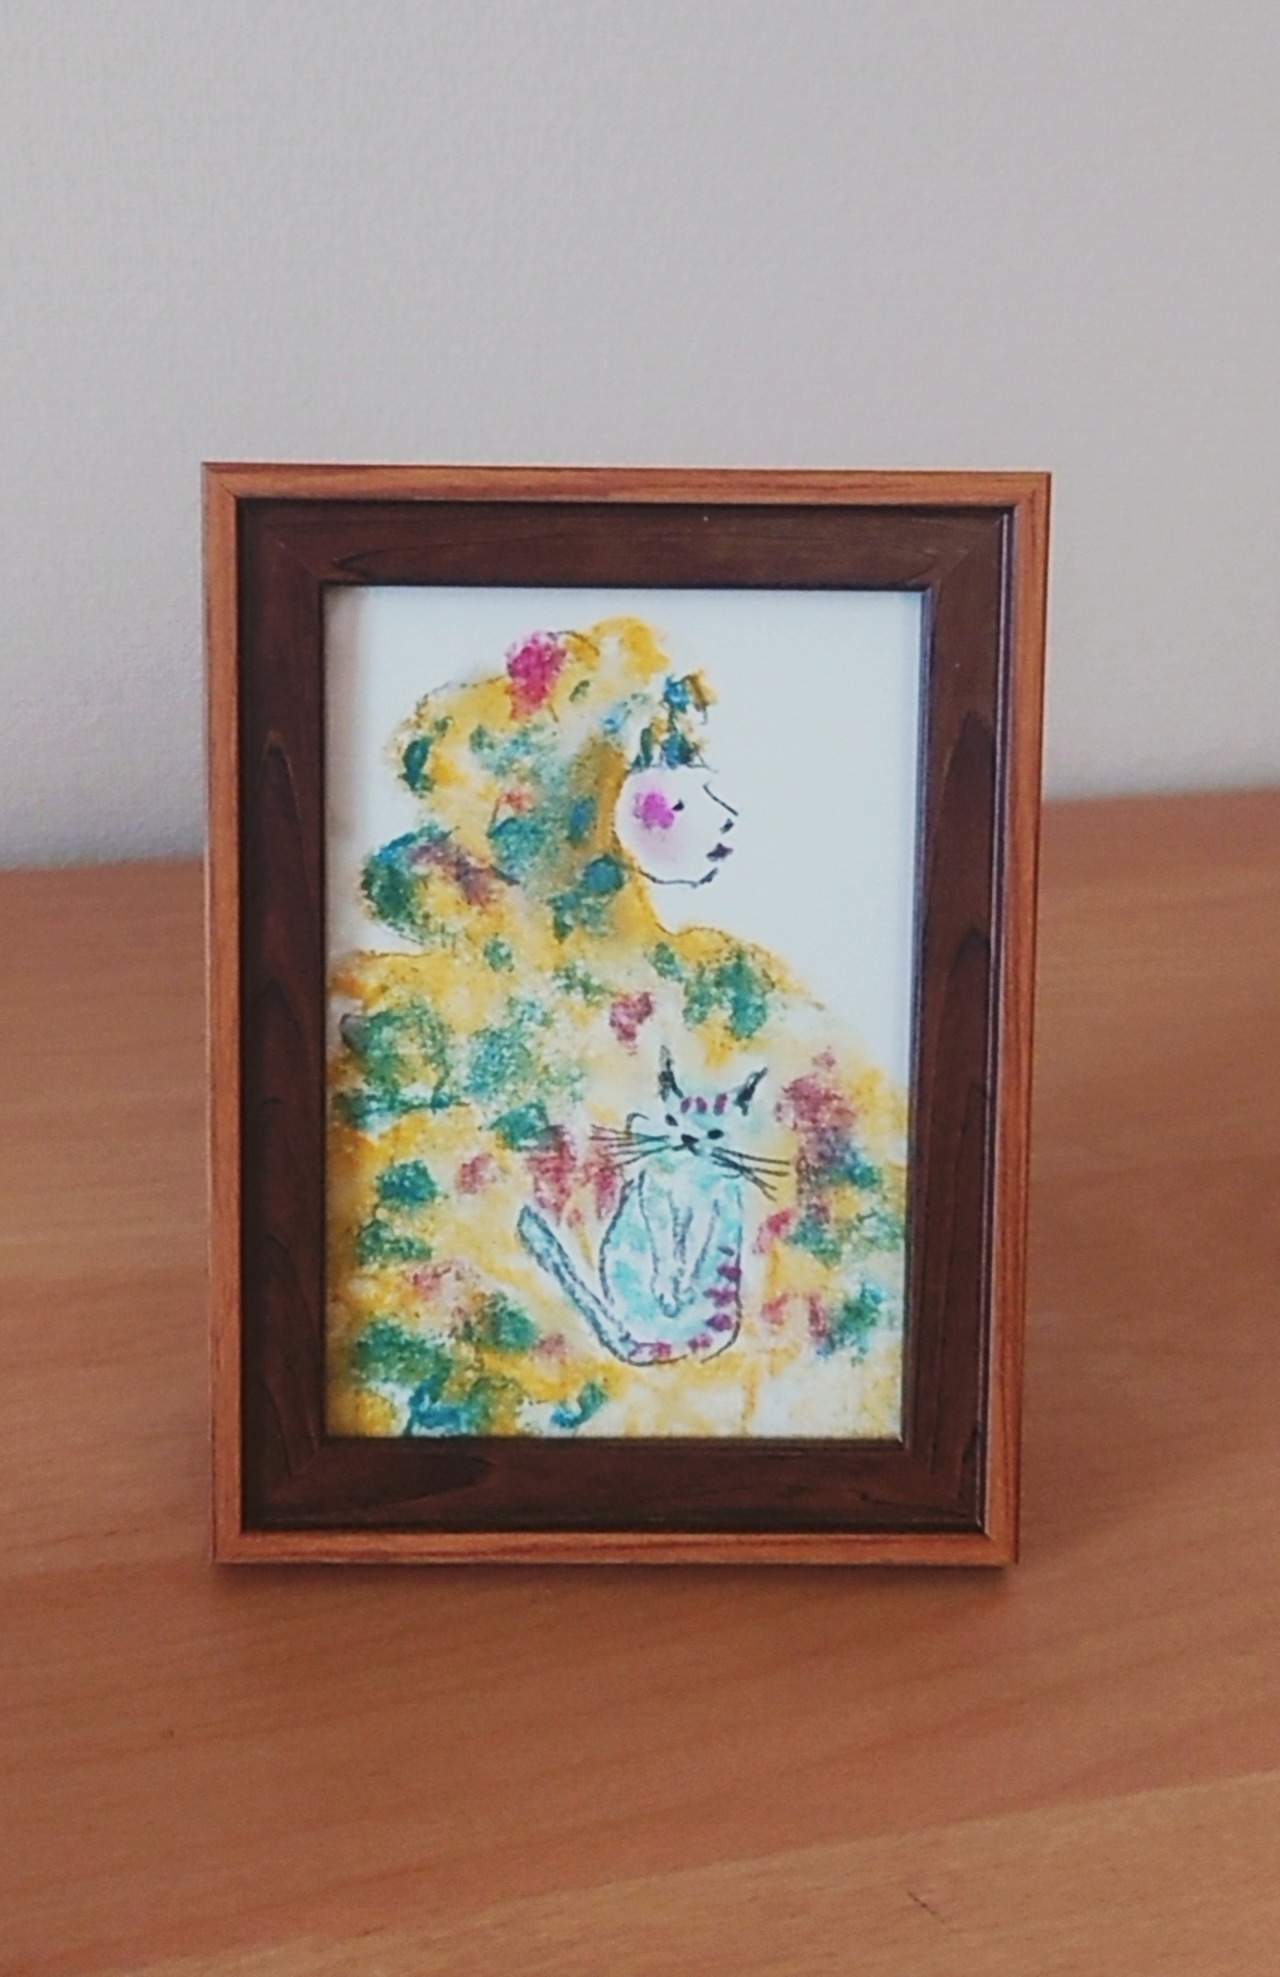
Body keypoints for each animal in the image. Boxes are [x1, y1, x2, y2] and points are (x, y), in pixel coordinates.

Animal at [517, 1047, 788, 1366]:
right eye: (671, 1120)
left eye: (715, 1134)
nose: (688, 1138)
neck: (686, 1174)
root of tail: (669, 1344)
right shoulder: (654, 1195)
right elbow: (664, 1245)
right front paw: (667, 1285)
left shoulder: (709, 1205)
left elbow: (693, 1245)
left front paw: (683, 1283)